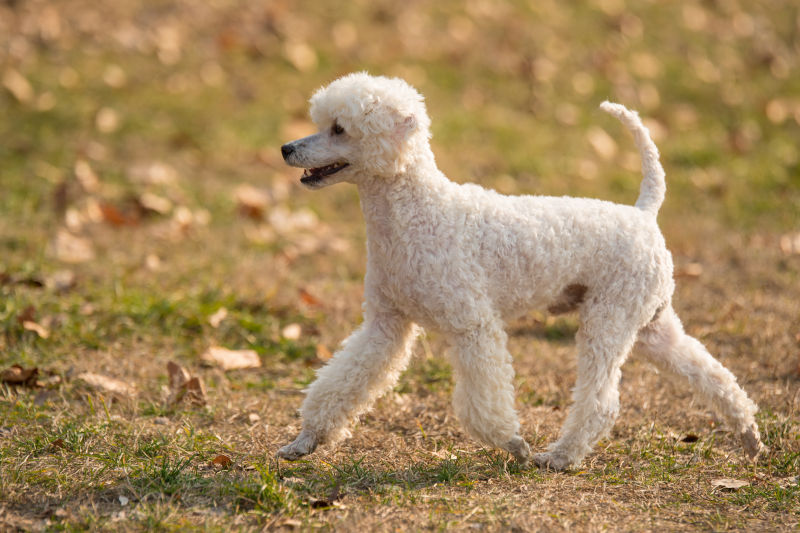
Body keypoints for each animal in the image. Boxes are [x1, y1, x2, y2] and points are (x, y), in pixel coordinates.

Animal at [276, 71, 764, 470]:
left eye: (339, 129)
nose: (286, 148)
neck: (414, 213)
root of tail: (645, 212)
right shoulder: (385, 326)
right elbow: (342, 382)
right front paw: (305, 441)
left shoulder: (473, 326)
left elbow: (483, 404)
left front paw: (514, 445)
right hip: (650, 325)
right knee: (712, 374)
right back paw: (749, 437)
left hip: (608, 319)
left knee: (601, 403)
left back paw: (561, 457)